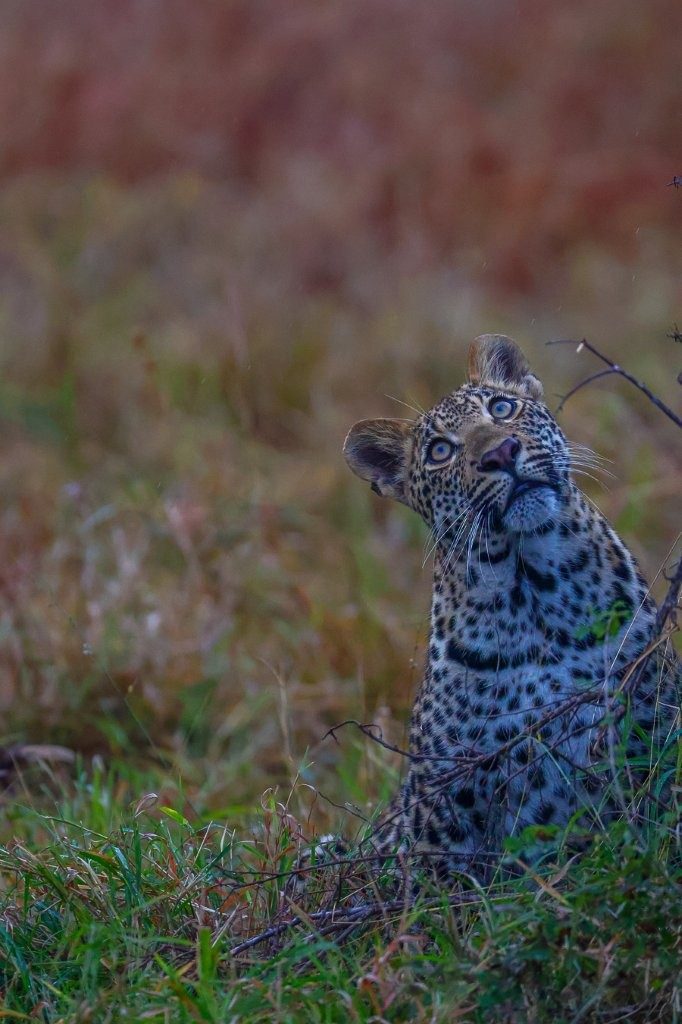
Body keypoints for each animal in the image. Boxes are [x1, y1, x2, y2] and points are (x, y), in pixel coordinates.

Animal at [343, 334, 678, 880]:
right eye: (440, 451)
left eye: (502, 408)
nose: (501, 452)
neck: (537, 593)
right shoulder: (441, 815)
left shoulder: (653, 740)